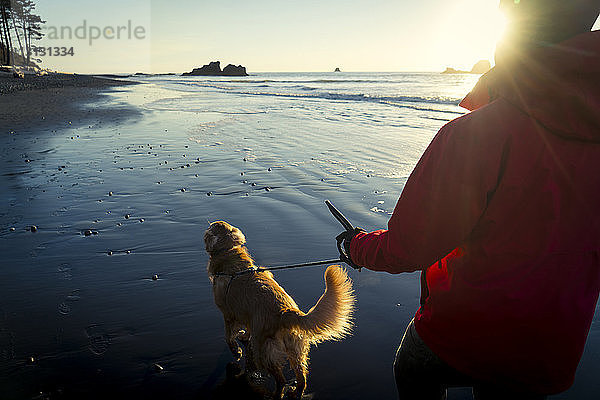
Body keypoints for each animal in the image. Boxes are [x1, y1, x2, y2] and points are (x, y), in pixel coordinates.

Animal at [206, 220, 356, 398]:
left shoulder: (228, 314)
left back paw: (276, 393)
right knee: (302, 378)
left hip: (263, 351)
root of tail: (286, 313)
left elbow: (228, 336)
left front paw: (236, 351)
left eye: (212, 227)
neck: (230, 255)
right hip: (295, 350)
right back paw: (295, 391)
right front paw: (244, 337)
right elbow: (247, 329)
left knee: (281, 379)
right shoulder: (249, 317)